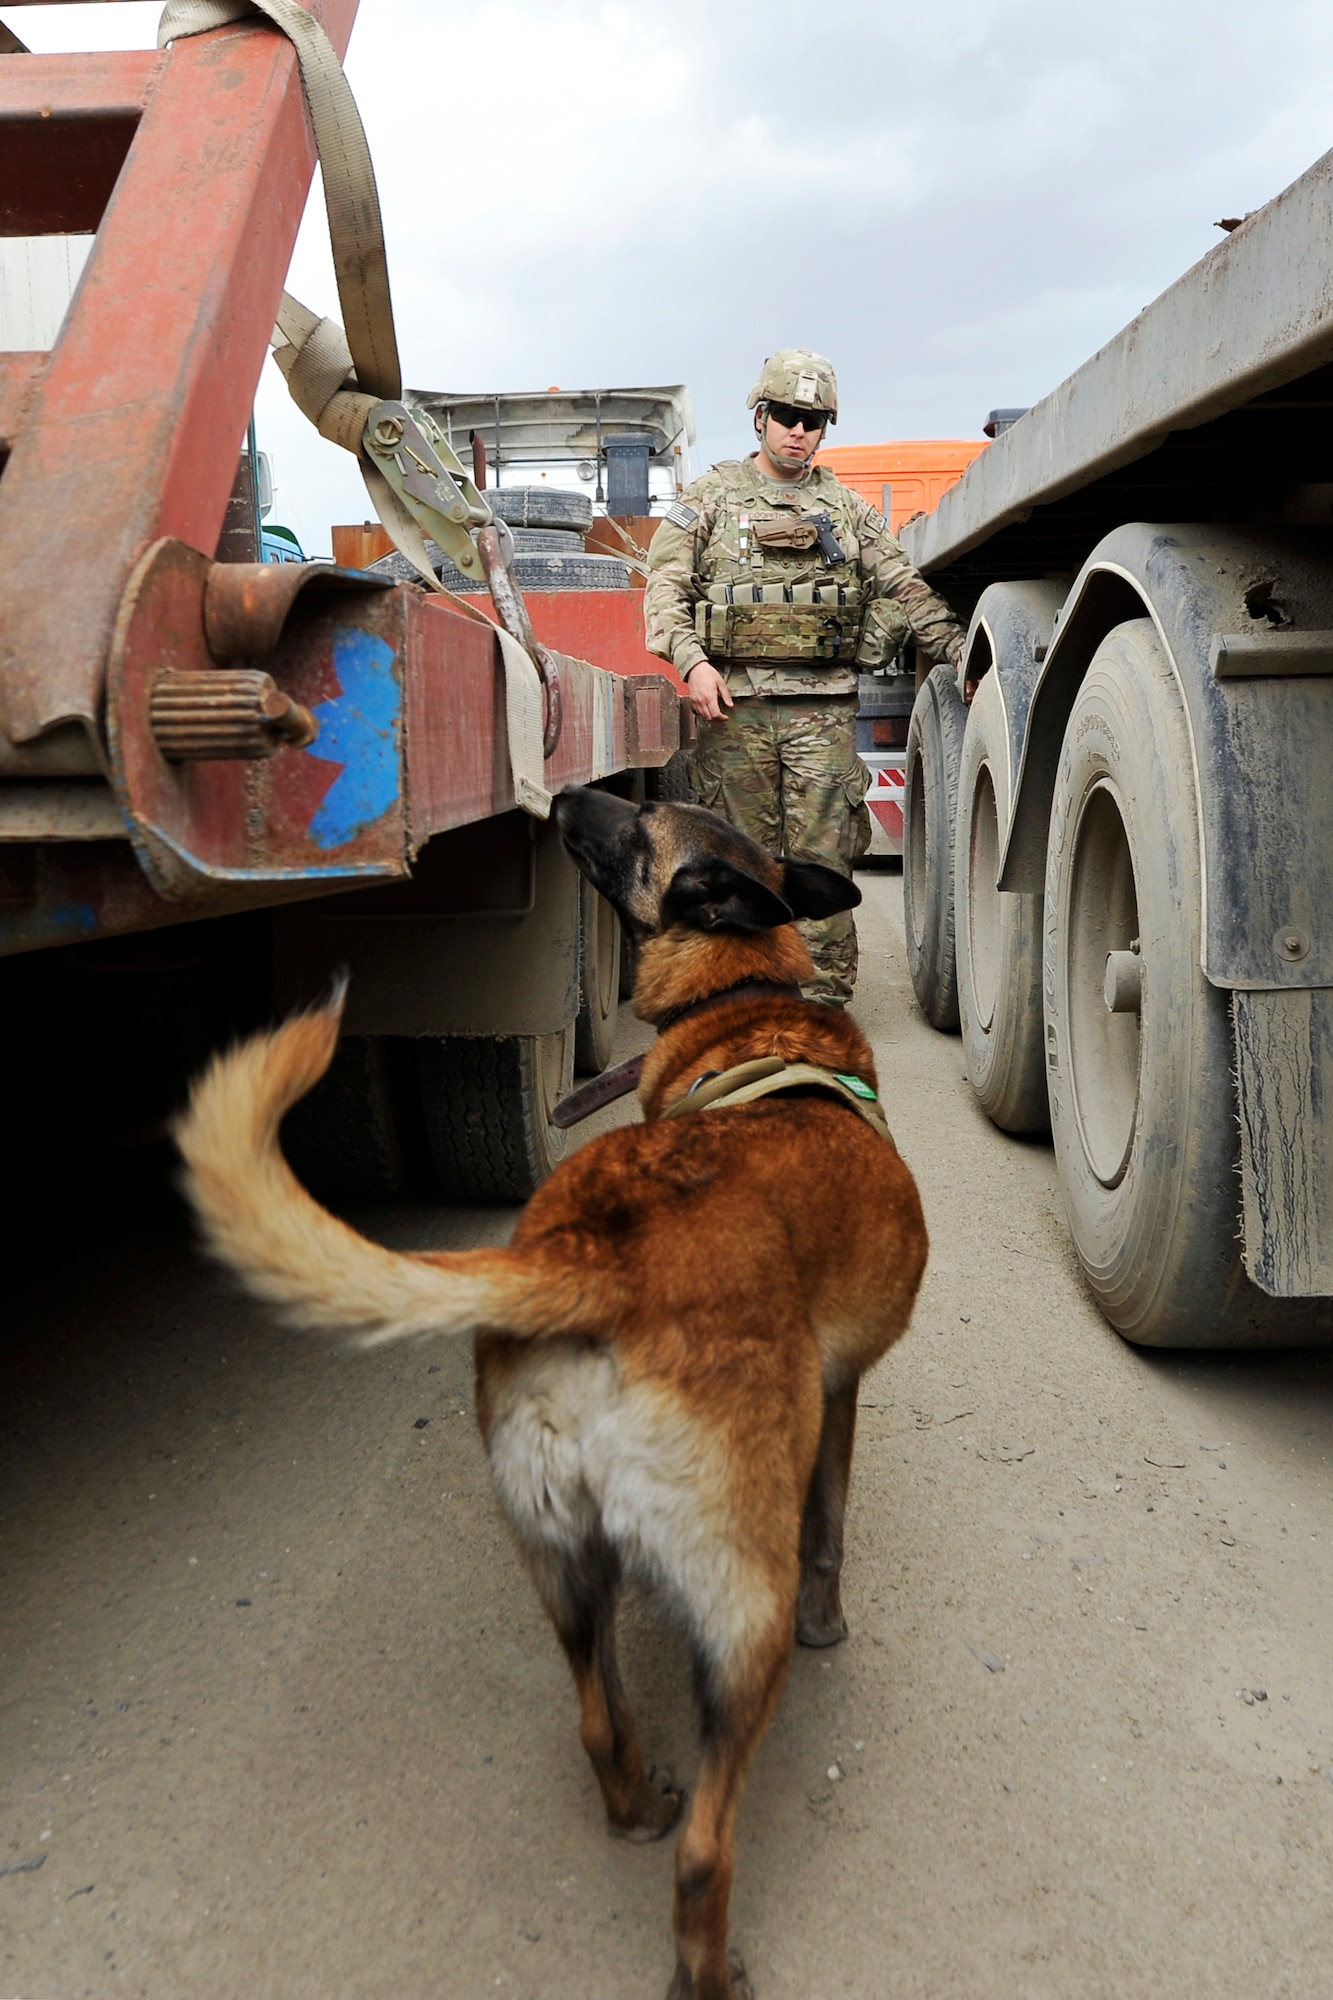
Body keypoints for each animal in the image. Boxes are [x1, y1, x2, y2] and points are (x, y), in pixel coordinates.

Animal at [174, 788, 924, 2000]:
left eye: (644, 826)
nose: (567, 795)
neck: (745, 1001)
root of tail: (591, 1258)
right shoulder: (843, 1397)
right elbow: (829, 1533)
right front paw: (833, 1625)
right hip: (739, 1613)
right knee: (703, 1849)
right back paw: (707, 1963)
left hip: (566, 1564)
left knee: (596, 1723)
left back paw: (634, 1800)